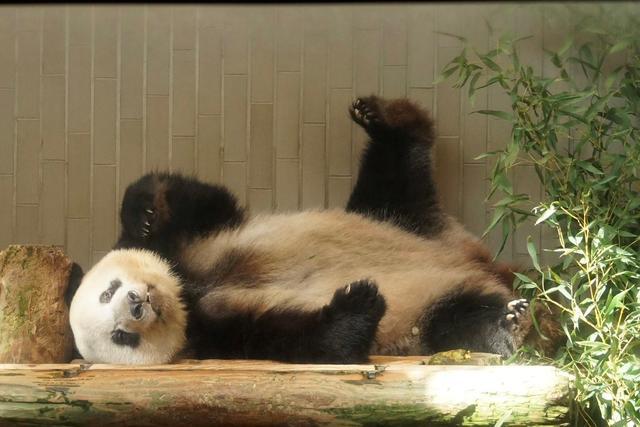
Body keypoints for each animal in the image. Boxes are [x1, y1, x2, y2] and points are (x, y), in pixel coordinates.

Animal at [71, 95, 560, 362]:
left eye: (108, 291)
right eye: (120, 337)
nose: (137, 304)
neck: (189, 288)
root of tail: (479, 259)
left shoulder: (198, 238)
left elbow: (202, 199)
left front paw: (145, 215)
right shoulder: (214, 333)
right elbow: (313, 341)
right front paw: (358, 299)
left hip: (397, 215)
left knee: (397, 168)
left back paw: (384, 118)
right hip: (428, 308)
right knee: (459, 318)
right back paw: (514, 322)